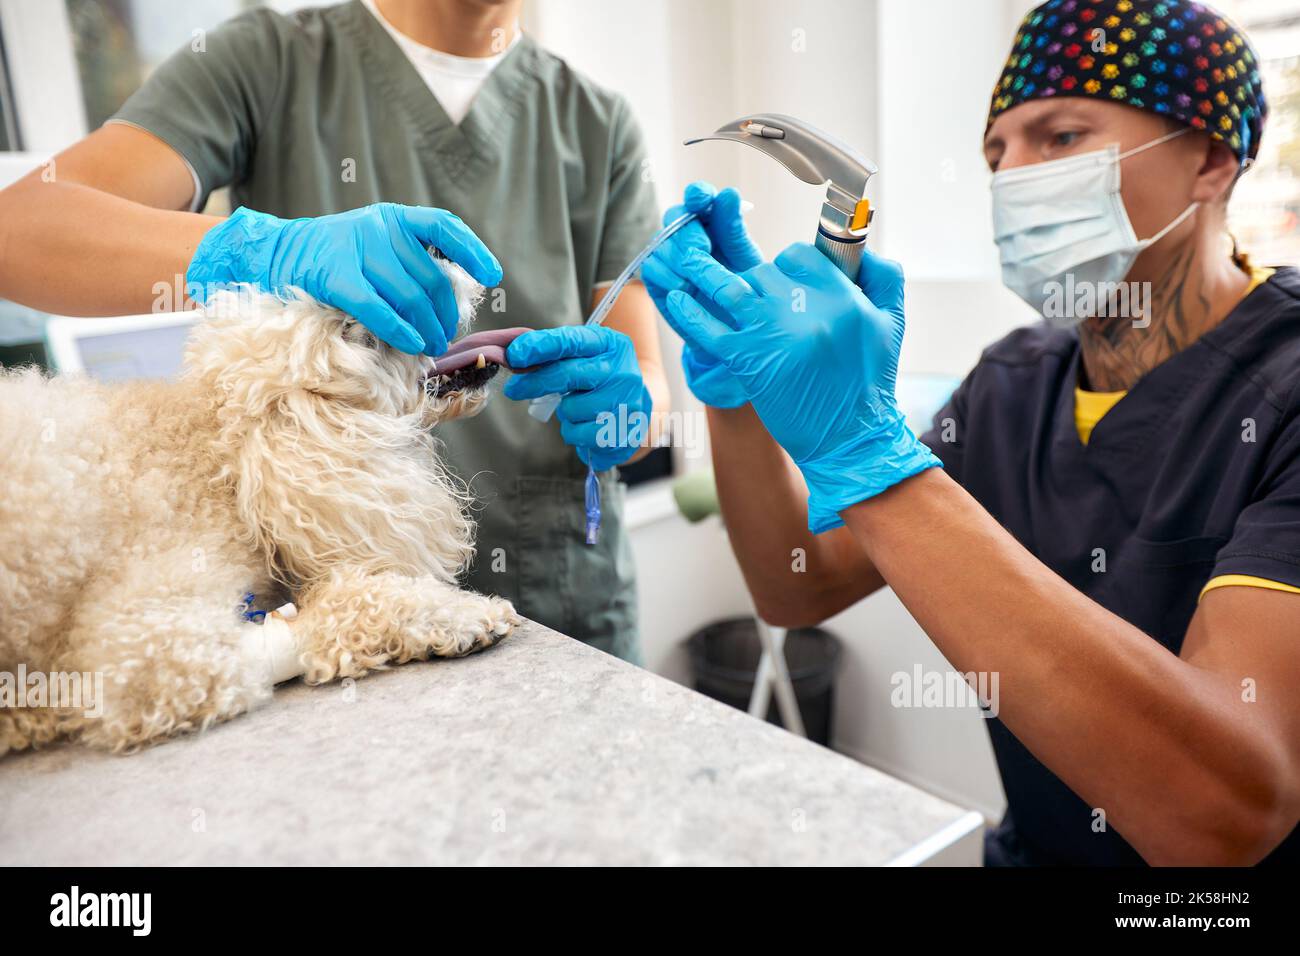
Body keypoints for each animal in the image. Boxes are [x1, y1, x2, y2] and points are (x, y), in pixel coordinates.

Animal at [2, 257, 527, 749]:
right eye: (355, 329)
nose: (441, 255)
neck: (219, 463)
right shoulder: (142, 645)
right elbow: (328, 614)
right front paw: (458, 616)